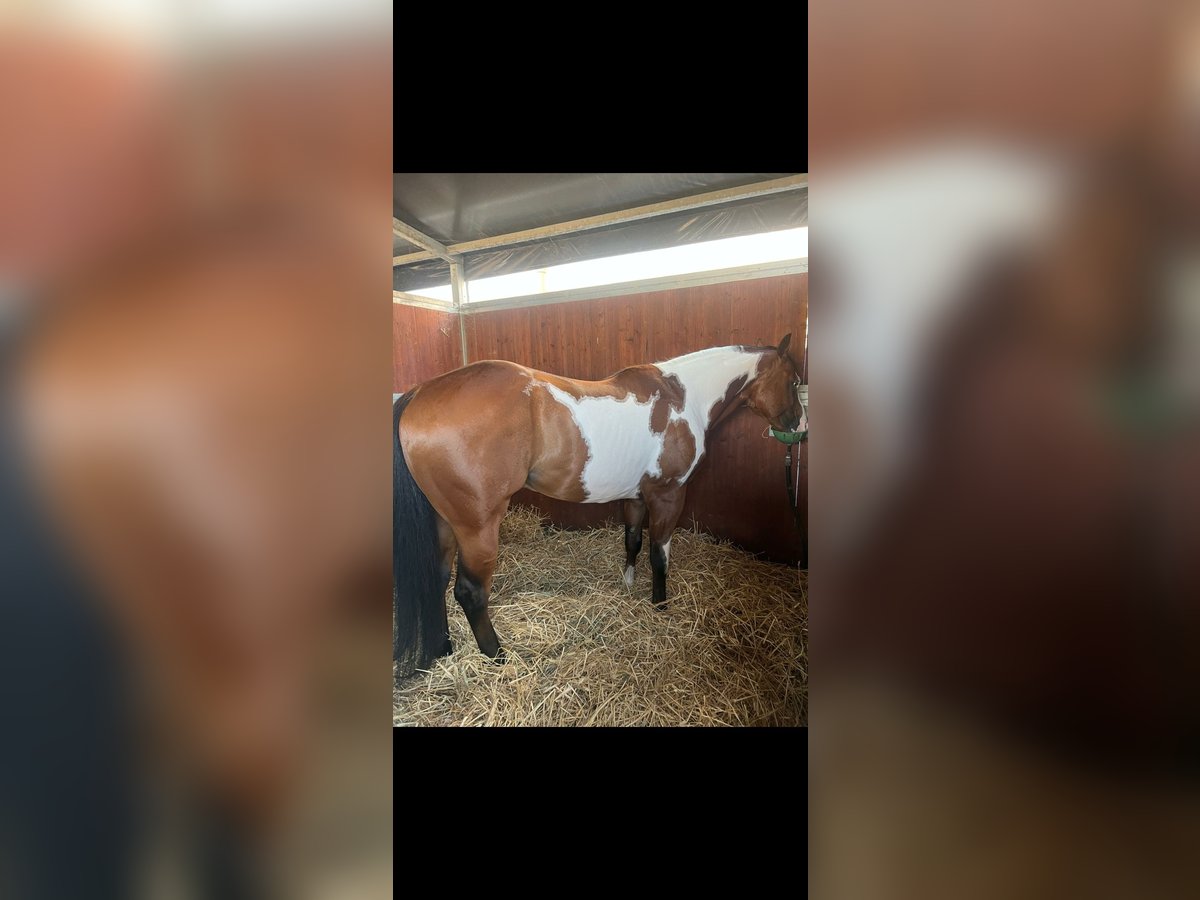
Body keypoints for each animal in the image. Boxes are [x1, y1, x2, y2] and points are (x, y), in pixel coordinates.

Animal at [393, 334, 807, 675]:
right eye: (794, 382)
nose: (798, 428)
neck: (683, 398)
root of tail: (419, 393)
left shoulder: (636, 497)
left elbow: (633, 542)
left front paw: (628, 587)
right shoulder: (669, 495)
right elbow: (660, 556)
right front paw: (660, 607)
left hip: (445, 521)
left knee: (436, 579)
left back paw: (444, 650)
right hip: (478, 525)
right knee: (470, 592)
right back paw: (498, 658)